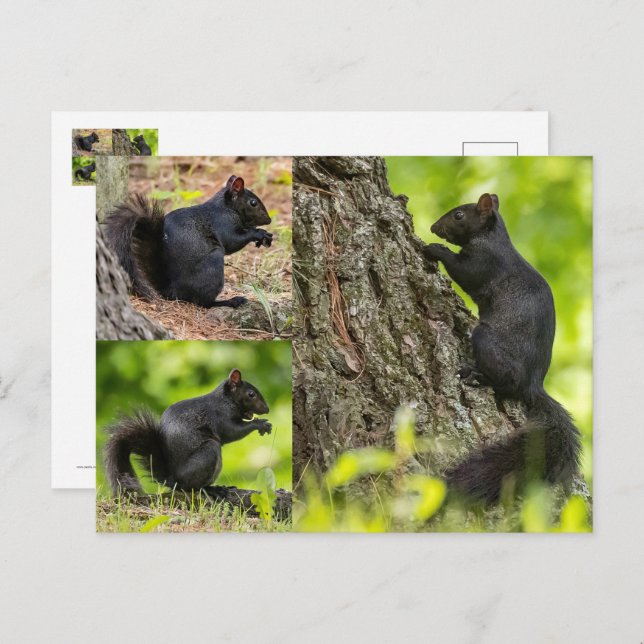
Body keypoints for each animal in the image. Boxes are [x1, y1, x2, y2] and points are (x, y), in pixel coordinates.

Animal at [104, 174, 273, 308]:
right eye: (253, 203)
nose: (269, 220)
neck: (226, 207)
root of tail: (172, 291)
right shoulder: (222, 223)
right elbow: (232, 241)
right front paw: (257, 233)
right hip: (213, 264)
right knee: (203, 302)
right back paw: (229, 301)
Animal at [104, 368, 272, 495]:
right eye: (251, 394)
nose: (267, 409)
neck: (225, 400)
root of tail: (173, 479)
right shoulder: (220, 416)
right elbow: (233, 431)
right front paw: (260, 424)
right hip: (208, 452)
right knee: (191, 487)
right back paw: (210, 490)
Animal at [423, 193, 581, 504]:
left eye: (459, 215)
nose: (435, 227)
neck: (491, 237)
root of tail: (533, 384)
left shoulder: (485, 263)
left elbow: (463, 271)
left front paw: (435, 249)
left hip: (487, 339)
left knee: (507, 385)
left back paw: (477, 375)